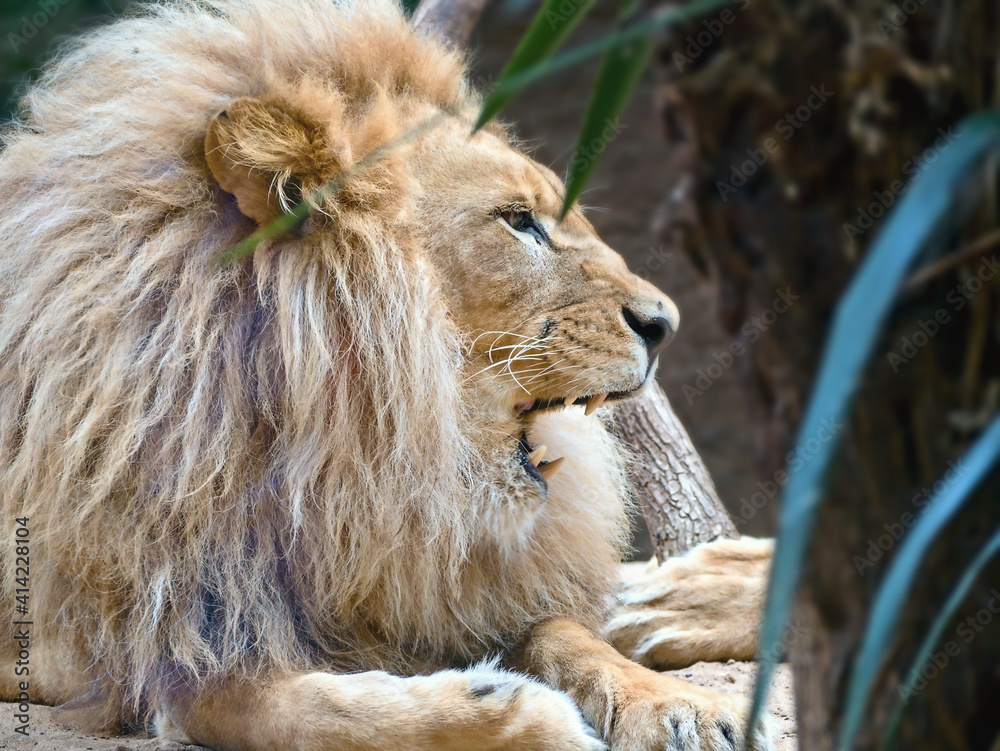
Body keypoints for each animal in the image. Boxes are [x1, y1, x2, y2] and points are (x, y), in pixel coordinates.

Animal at [0, 1, 776, 749]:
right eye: (518, 221)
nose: (665, 322)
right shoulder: (158, 642)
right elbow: (315, 715)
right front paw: (517, 718)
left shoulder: (453, 587)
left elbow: (565, 634)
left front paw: (683, 707)